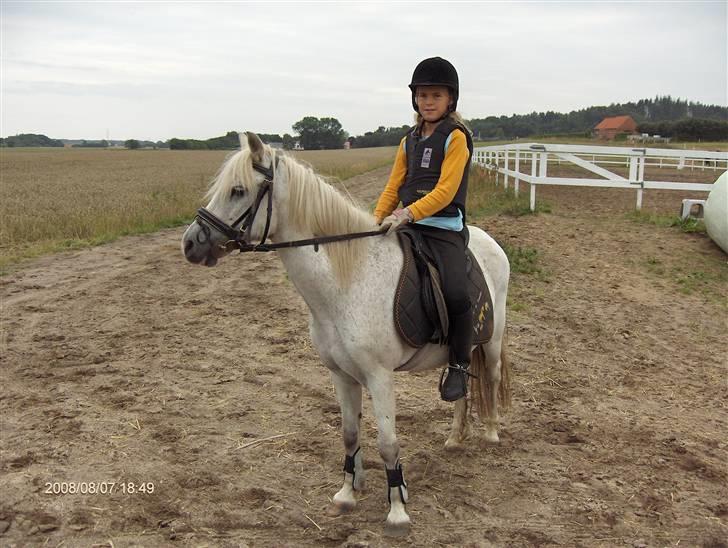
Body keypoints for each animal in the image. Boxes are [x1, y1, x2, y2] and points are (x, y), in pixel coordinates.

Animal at [182, 132, 512, 536]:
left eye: (238, 190)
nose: (190, 243)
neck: (347, 279)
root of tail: (488, 241)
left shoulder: (380, 377)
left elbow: (388, 443)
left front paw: (397, 511)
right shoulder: (341, 375)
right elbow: (350, 434)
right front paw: (346, 495)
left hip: (492, 341)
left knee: (491, 377)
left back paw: (491, 433)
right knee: (460, 386)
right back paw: (453, 438)